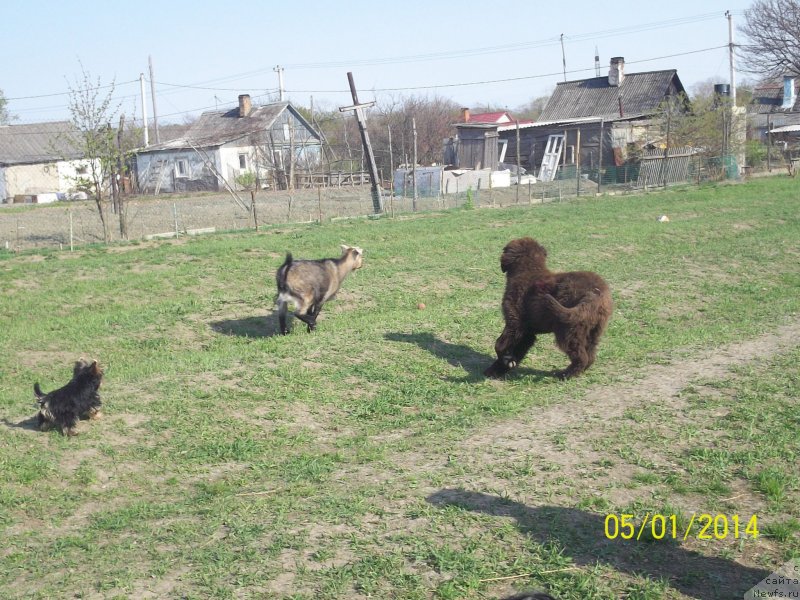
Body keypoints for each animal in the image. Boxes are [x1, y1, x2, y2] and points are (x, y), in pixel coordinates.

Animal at [482, 236, 612, 380]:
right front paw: (499, 368)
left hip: (568, 330)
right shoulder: (527, 332)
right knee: (590, 356)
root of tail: (596, 293)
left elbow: (499, 344)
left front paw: (504, 361)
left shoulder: (514, 322)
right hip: (593, 331)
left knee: (581, 357)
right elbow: (517, 349)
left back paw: (565, 374)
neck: (528, 270)